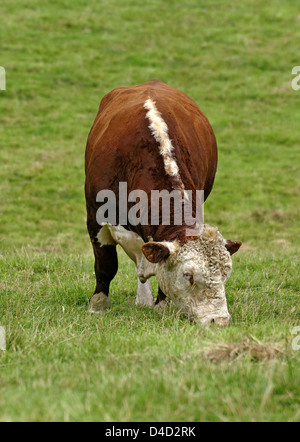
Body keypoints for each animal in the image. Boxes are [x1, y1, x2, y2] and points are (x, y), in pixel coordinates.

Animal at [85, 81, 241, 326]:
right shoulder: (95, 216)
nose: (220, 320)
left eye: (225, 275)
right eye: (188, 276)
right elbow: (106, 265)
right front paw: (98, 306)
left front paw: (162, 307)